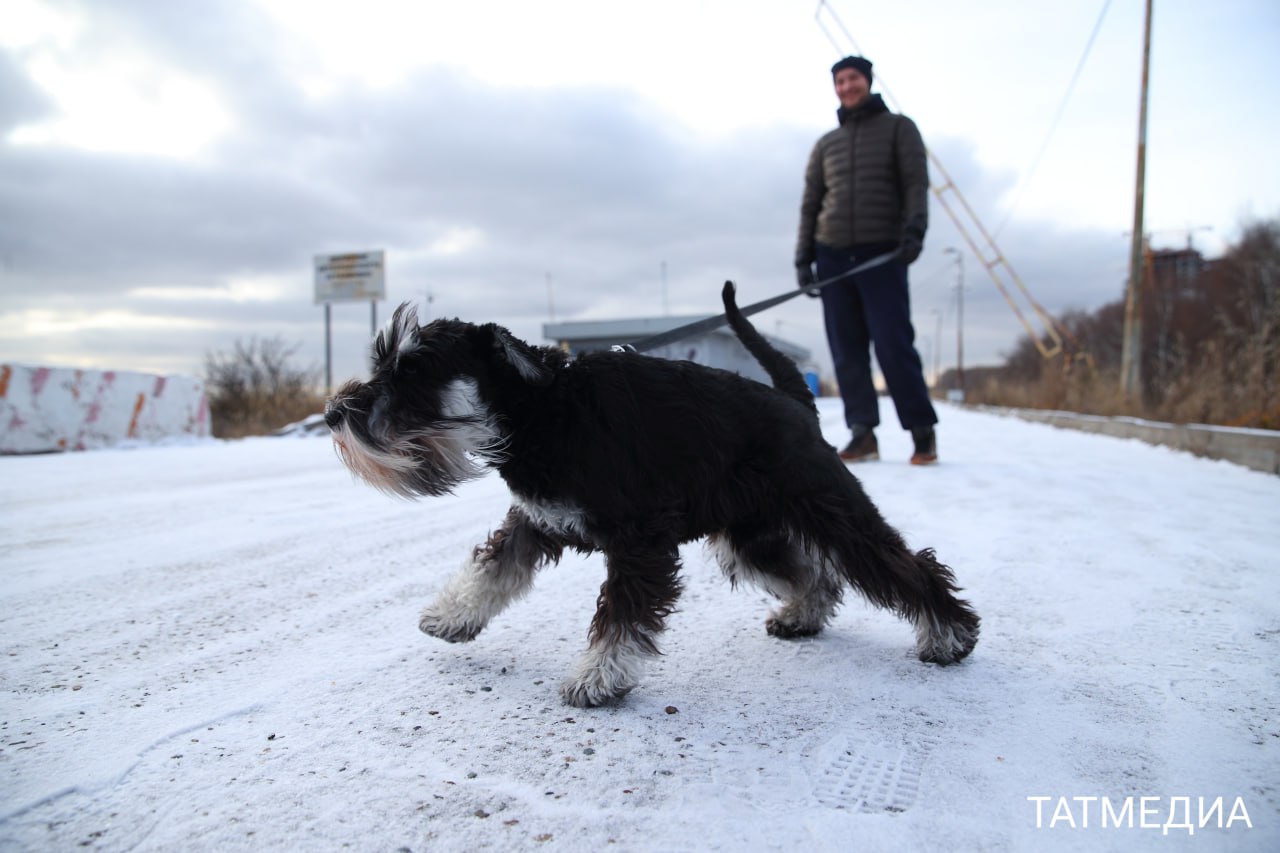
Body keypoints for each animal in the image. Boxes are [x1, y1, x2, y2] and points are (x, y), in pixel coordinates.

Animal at [327, 281, 977, 701]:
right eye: (383, 364)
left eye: (415, 370)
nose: (334, 413)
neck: (543, 410)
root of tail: (797, 401)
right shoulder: (535, 521)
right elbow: (491, 570)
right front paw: (450, 616)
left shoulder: (639, 542)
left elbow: (621, 615)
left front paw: (597, 678)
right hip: (749, 535)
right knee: (815, 576)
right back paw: (801, 617)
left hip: (831, 512)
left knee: (903, 566)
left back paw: (951, 637)